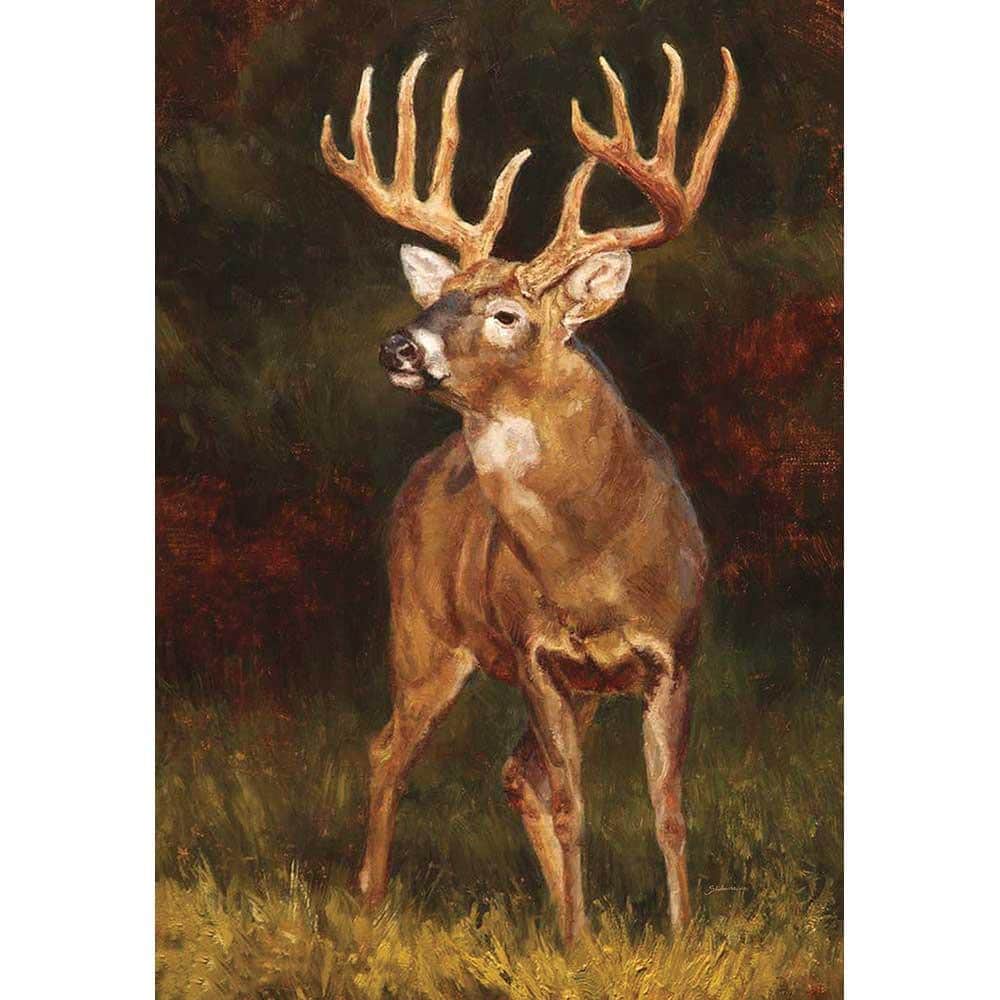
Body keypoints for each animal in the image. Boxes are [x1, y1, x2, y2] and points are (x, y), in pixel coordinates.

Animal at [320, 41, 738, 947]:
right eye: (438, 296)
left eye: (507, 314)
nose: (400, 346)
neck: (594, 561)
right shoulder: (540, 656)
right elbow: (576, 803)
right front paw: (581, 946)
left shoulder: (676, 656)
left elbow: (668, 809)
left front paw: (680, 936)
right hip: (421, 627)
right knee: (390, 749)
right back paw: (371, 900)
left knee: (514, 772)